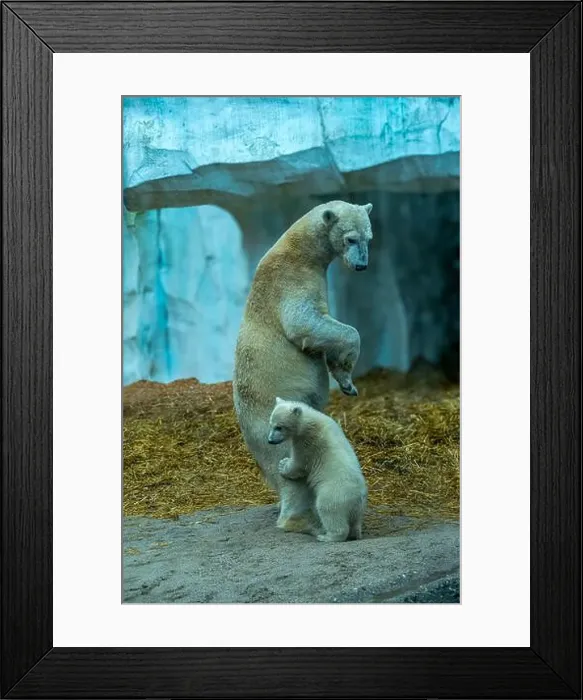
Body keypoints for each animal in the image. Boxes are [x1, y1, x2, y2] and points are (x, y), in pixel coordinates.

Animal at [268, 398, 368, 542]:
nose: (270, 440)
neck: (309, 419)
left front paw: (283, 464)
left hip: (334, 494)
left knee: (329, 511)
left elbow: (300, 463)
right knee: (355, 521)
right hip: (358, 507)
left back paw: (327, 536)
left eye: (279, 427)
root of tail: (357, 498)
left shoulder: (307, 441)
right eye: (270, 424)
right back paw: (355, 534)